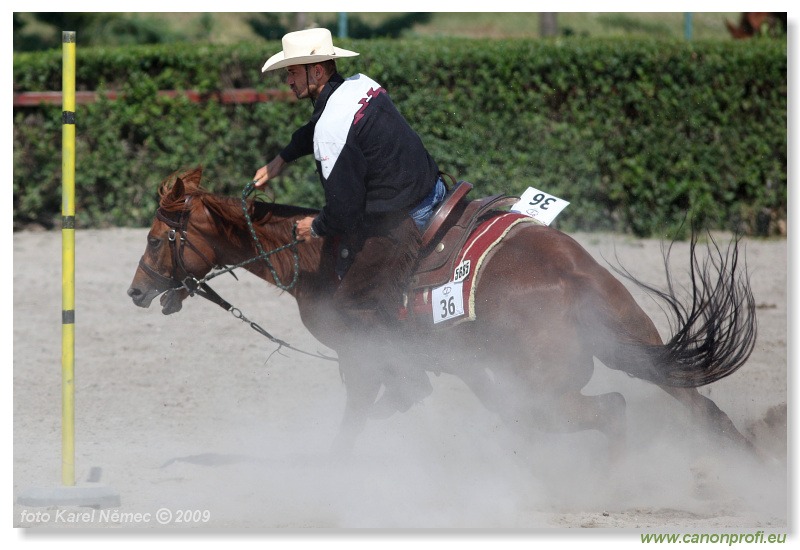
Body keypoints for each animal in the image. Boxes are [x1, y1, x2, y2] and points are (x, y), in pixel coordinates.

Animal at [128, 168, 760, 462]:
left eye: (157, 239)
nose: (135, 291)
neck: (317, 256)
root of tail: (574, 277)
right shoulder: (461, 366)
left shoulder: (364, 356)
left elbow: (362, 415)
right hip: (634, 342)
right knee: (696, 406)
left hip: (548, 388)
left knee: (613, 411)